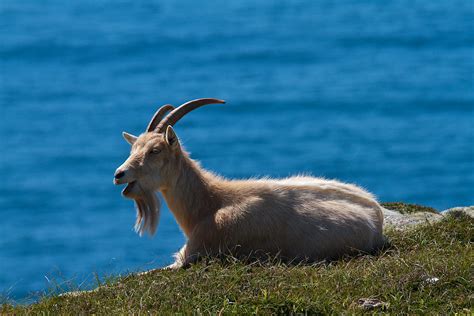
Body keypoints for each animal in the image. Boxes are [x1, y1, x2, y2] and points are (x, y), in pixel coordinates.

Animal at [114, 97, 386, 268]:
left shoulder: (194, 253)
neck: (209, 203)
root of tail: (376, 215)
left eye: (155, 150)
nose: (119, 174)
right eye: (133, 148)